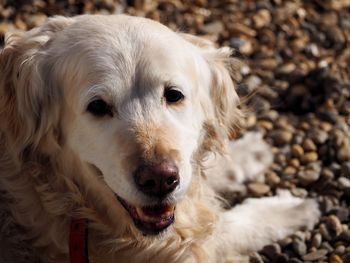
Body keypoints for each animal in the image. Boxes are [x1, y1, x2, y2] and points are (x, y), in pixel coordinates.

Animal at [0, 14, 320, 263]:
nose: (160, 180)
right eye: (98, 107)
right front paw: (290, 210)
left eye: (174, 95)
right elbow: (229, 228)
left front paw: (251, 153)